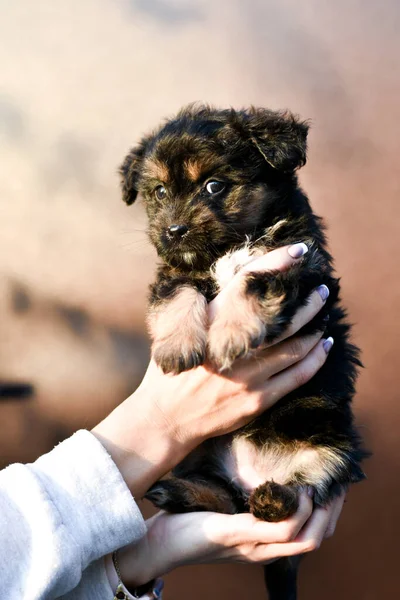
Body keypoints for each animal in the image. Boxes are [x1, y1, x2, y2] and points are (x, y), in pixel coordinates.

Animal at [119, 105, 368, 596]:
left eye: (214, 186)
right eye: (159, 192)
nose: (174, 230)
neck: (229, 246)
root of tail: (254, 473)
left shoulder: (299, 266)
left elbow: (253, 280)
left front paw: (231, 334)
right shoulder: (173, 272)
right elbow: (179, 292)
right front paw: (177, 345)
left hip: (334, 449)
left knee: (300, 492)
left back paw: (272, 498)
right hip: (201, 455)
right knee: (230, 501)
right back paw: (175, 491)